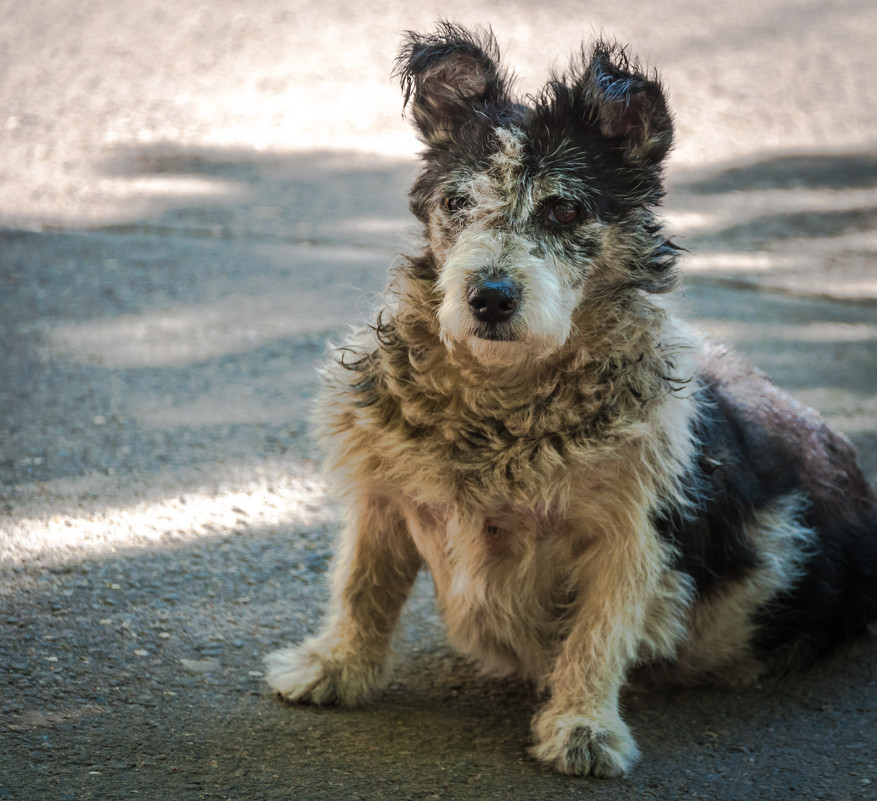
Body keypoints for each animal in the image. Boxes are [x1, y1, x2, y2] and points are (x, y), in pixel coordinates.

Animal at [266, 23, 876, 776]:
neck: (500, 405)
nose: (490, 297)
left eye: (563, 208)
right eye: (457, 203)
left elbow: (597, 634)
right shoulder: (383, 496)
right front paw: (334, 666)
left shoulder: (629, 536)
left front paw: (583, 729)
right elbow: (362, 587)